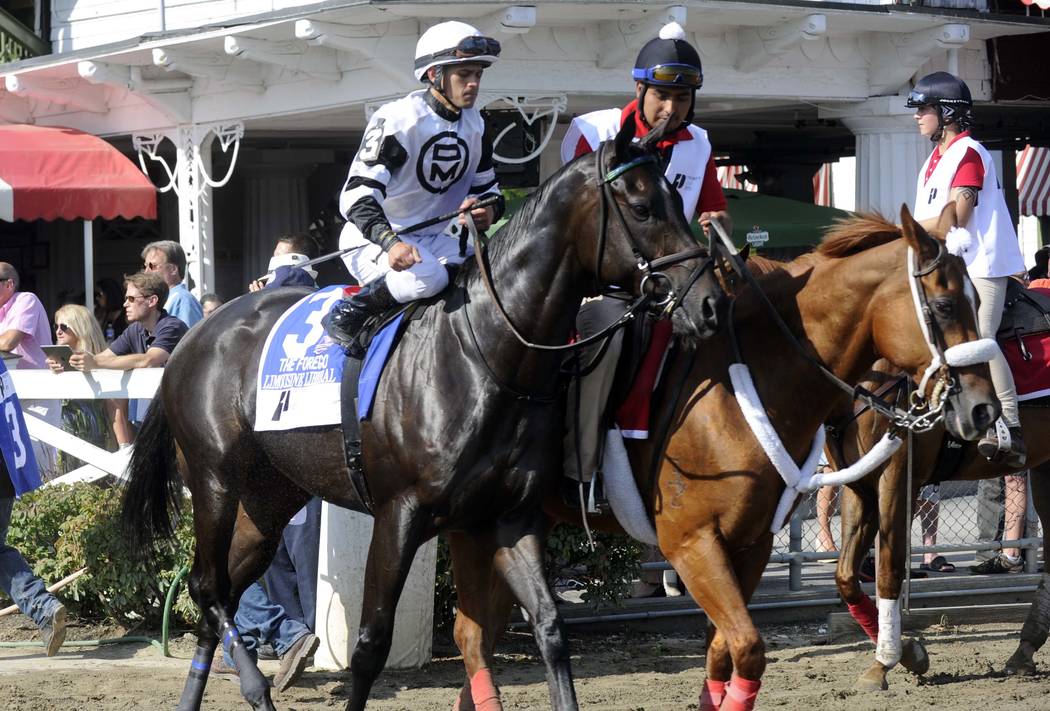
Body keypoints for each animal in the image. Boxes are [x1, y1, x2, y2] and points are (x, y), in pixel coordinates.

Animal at [117, 117, 722, 709]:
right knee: (209, 587)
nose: (709, 302)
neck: (486, 351)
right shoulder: (400, 513)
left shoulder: (511, 515)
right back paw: (257, 689)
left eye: (680, 198)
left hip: (270, 497)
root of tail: (195, 335)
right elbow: (369, 644)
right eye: (641, 207)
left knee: (217, 587)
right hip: (214, 480)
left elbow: (550, 627)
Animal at [453, 204, 999, 709]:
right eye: (945, 305)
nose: (983, 408)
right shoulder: (692, 544)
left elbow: (722, 651)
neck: (747, 382)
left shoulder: (751, 544)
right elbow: (750, 645)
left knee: (481, 631)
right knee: (475, 633)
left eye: (976, 300)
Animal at [827, 361, 1050, 688]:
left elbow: (888, 572)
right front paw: (907, 651)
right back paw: (1024, 651)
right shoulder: (858, 487)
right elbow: (846, 576)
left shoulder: (897, 481)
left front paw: (886, 661)